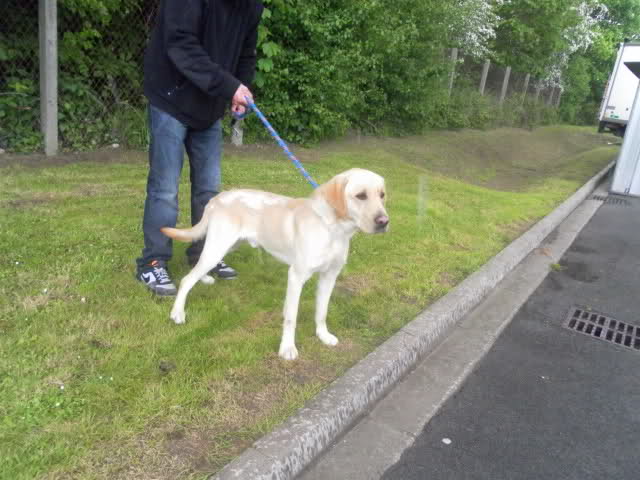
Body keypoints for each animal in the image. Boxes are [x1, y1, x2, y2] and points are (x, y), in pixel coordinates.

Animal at [162, 169, 388, 360]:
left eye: (382, 195)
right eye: (361, 195)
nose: (384, 222)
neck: (333, 228)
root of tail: (217, 198)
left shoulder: (329, 276)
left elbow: (321, 312)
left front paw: (323, 335)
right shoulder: (297, 276)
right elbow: (292, 318)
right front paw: (287, 348)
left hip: (226, 246)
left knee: (199, 265)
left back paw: (204, 278)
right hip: (218, 246)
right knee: (186, 279)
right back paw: (178, 313)